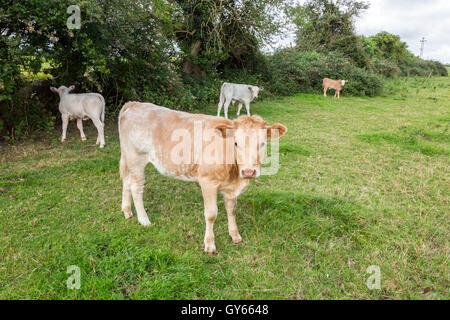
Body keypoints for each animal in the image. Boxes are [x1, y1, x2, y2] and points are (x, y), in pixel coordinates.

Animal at [118, 101, 288, 256]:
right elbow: (211, 214)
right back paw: (144, 220)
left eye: (263, 143)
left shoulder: (231, 188)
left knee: (126, 182)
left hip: (129, 159)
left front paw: (235, 236)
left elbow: (232, 210)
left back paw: (127, 211)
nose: (248, 171)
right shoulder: (207, 182)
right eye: (236, 143)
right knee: (136, 188)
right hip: (136, 159)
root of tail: (133, 104)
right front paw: (210, 245)